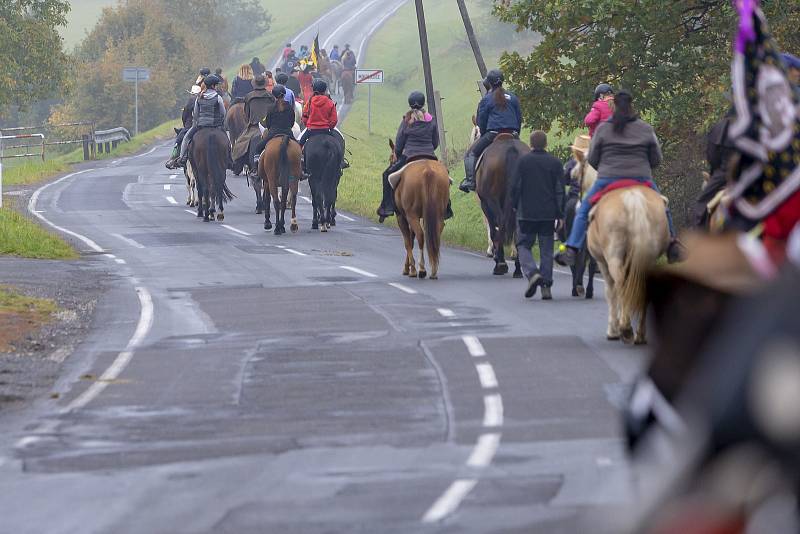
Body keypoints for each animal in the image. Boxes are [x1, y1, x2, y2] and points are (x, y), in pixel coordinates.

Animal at [390, 140, 454, 282]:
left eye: (391, 158)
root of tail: (428, 170)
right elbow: (411, 239)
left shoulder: (402, 217)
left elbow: (408, 241)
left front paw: (408, 269)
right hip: (437, 214)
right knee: (435, 236)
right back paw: (434, 270)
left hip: (411, 215)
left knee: (420, 236)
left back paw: (420, 269)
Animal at [478, 134, 528, 278]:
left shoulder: (485, 204)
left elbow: (493, 230)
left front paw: (497, 258)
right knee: (518, 231)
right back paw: (518, 269)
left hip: (492, 201)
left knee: (500, 225)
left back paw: (500, 264)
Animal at [584, 182, 672, 346]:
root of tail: (633, 198)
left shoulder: (602, 264)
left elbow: (611, 293)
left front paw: (612, 331)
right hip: (648, 259)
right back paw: (640, 335)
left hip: (614, 259)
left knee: (620, 287)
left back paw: (625, 329)